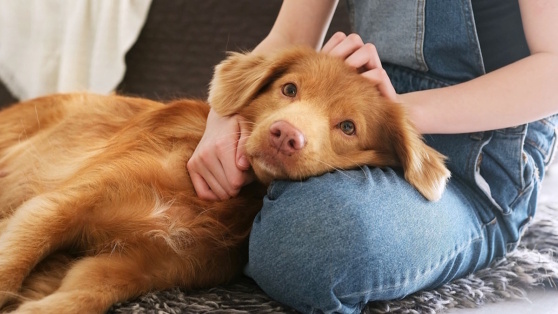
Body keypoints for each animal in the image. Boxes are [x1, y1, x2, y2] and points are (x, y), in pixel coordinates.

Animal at [0, 45, 450, 312]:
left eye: (348, 127)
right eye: (289, 89)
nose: (285, 135)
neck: (209, 200)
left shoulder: (134, 267)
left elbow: (80, 296)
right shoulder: (60, 204)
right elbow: (13, 265)